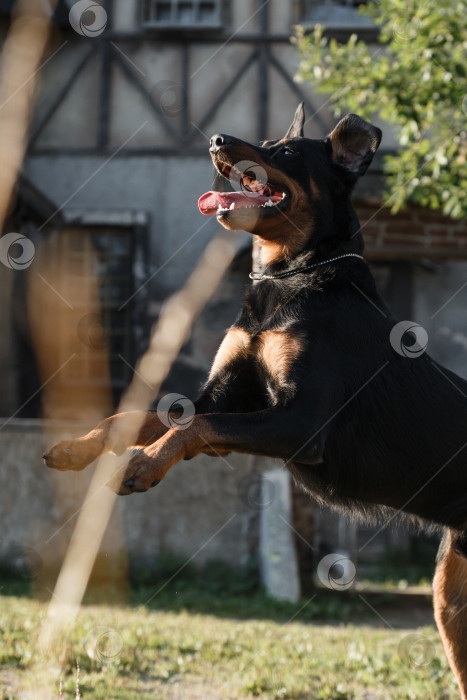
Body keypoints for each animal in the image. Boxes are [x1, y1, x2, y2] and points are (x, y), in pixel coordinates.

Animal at [46, 105, 467, 700]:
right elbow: (137, 417)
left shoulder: (299, 425)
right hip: (451, 597)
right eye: (266, 140)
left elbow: (191, 430)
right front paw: (77, 447)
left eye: (286, 152)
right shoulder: (221, 399)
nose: (217, 140)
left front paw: (144, 465)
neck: (290, 277)